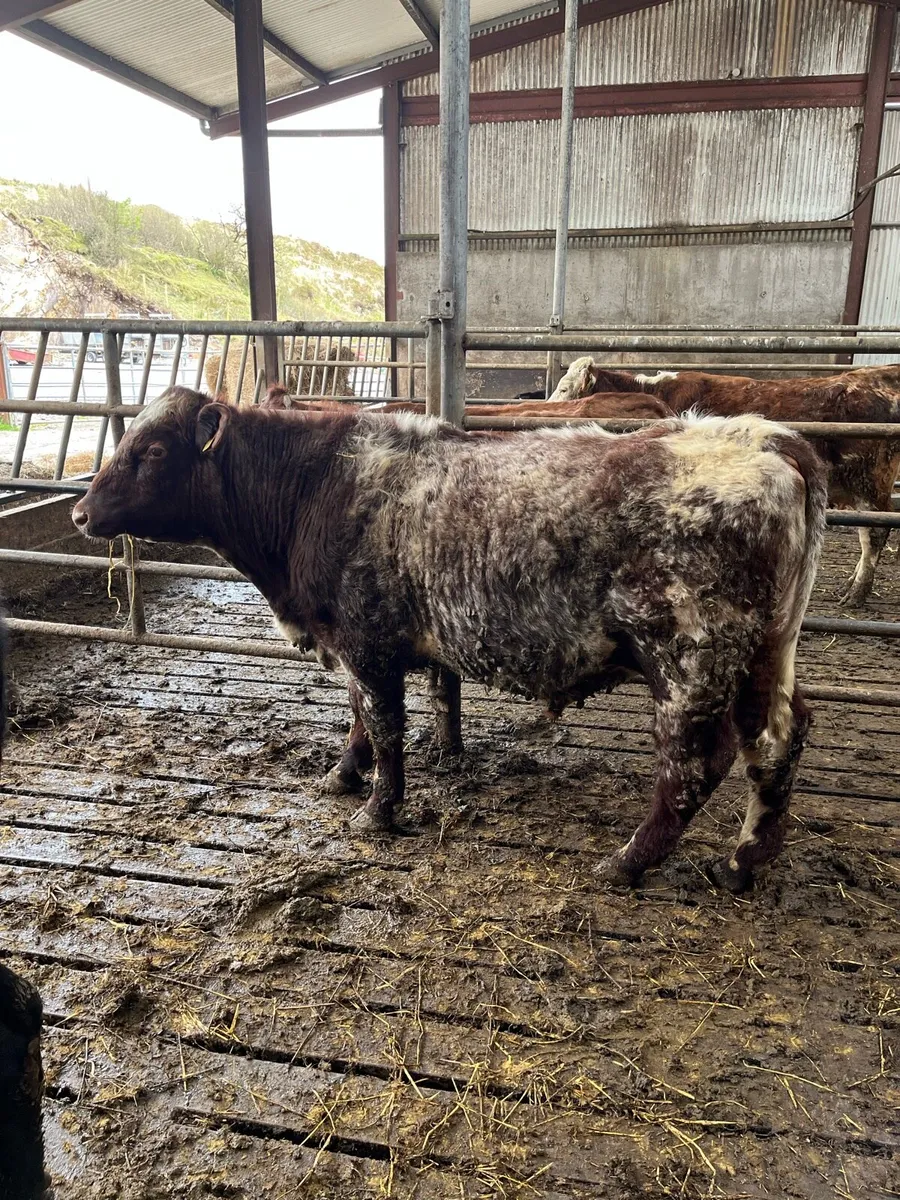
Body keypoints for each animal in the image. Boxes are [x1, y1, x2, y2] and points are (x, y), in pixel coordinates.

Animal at [72, 387, 826, 892]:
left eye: (153, 449)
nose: (79, 512)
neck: (318, 484)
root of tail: (767, 439)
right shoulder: (357, 644)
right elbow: (360, 717)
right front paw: (342, 776)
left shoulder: (367, 641)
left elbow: (384, 727)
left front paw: (378, 809)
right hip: (767, 654)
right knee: (780, 739)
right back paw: (744, 861)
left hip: (688, 660)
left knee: (695, 764)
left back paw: (627, 862)